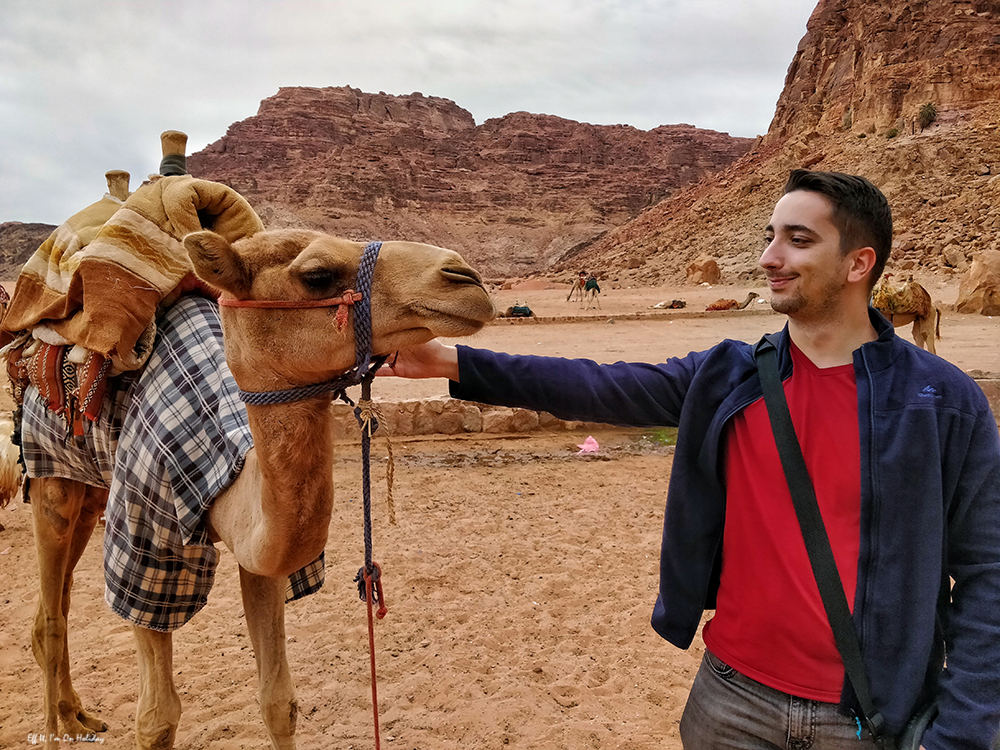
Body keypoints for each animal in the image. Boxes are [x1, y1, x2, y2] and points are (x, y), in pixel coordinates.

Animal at [6, 138, 492, 748]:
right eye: (317, 274)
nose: (465, 278)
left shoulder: (261, 557)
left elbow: (278, 701)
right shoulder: (144, 548)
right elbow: (156, 718)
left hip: (93, 486)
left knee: (58, 603)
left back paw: (77, 715)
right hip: (51, 474)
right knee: (51, 616)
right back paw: (58, 726)